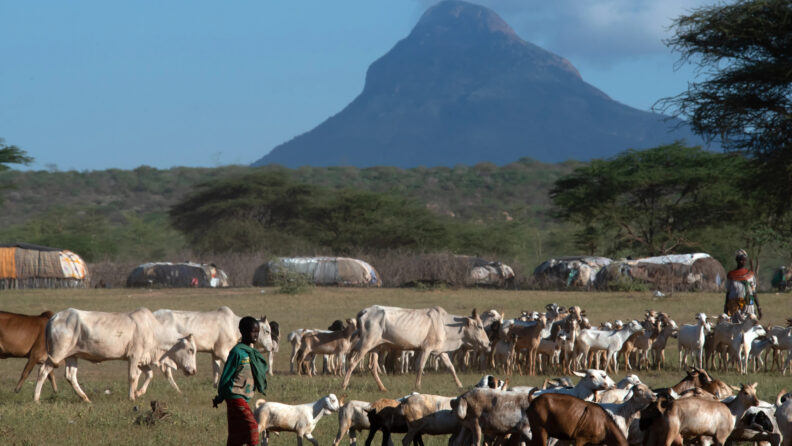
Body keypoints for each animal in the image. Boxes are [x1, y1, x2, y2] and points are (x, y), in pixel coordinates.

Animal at [33, 307, 197, 403]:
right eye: (191, 350)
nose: (194, 371)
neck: (154, 332)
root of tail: (54, 317)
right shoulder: (134, 356)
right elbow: (132, 376)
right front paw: (132, 397)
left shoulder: (142, 359)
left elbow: (149, 374)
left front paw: (138, 393)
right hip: (57, 352)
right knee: (43, 371)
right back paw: (36, 398)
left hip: (72, 355)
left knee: (70, 376)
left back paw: (85, 398)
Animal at [342, 306, 490, 392]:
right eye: (480, 327)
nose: (488, 344)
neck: (445, 325)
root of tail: (364, 311)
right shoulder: (426, 349)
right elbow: (420, 367)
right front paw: (418, 386)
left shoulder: (441, 351)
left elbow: (451, 367)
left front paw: (460, 385)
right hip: (366, 344)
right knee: (352, 362)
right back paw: (344, 385)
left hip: (376, 347)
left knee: (372, 367)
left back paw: (383, 388)